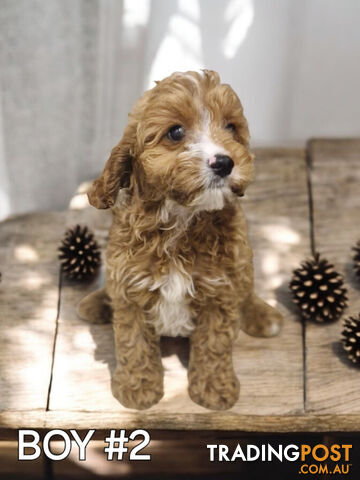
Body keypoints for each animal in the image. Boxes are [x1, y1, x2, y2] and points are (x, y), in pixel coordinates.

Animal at [77, 69, 282, 410]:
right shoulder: (130, 286)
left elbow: (214, 344)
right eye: (175, 133)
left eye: (231, 127)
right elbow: (133, 342)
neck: (181, 219)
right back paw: (96, 302)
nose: (224, 162)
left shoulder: (220, 290)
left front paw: (213, 388)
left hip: (245, 261)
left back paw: (263, 315)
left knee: (247, 289)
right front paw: (137, 388)